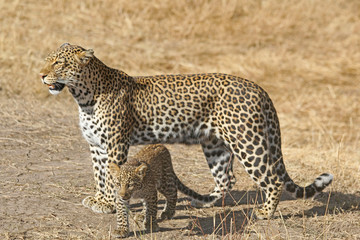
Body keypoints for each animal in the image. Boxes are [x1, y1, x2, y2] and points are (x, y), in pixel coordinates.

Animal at [39, 43, 332, 219]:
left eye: (59, 64)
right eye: (47, 61)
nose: (41, 75)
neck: (84, 97)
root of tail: (259, 88)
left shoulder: (115, 145)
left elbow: (111, 175)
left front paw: (111, 204)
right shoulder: (97, 146)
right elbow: (99, 174)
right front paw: (100, 200)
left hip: (248, 142)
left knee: (272, 179)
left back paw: (265, 213)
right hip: (215, 144)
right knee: (227, 178)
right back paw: (203, 202)